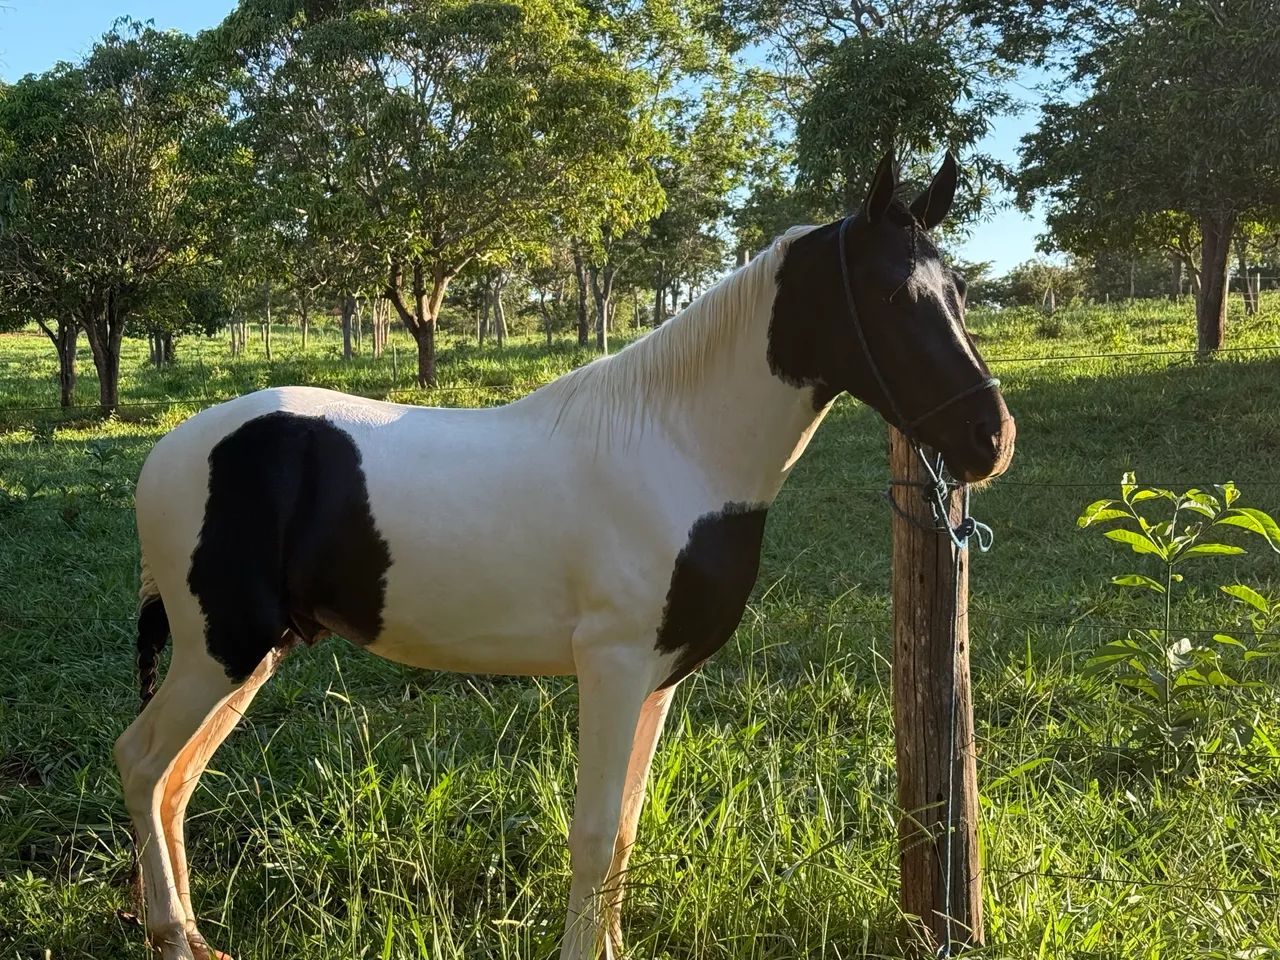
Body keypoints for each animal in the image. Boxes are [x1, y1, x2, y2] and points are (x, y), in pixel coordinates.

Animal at [114, 152, 1015, 960]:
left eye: (960, 293)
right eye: (893, 295)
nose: (990, 440)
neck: (676, 447)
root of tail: (168, 453)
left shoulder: (658, 681)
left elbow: (621, 829)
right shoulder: (612, 666)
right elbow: (590, 830)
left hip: (251, 653)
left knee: (176, 779)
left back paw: (194, 937)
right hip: (220, 651)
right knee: (143, 763)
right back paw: (171, 934)